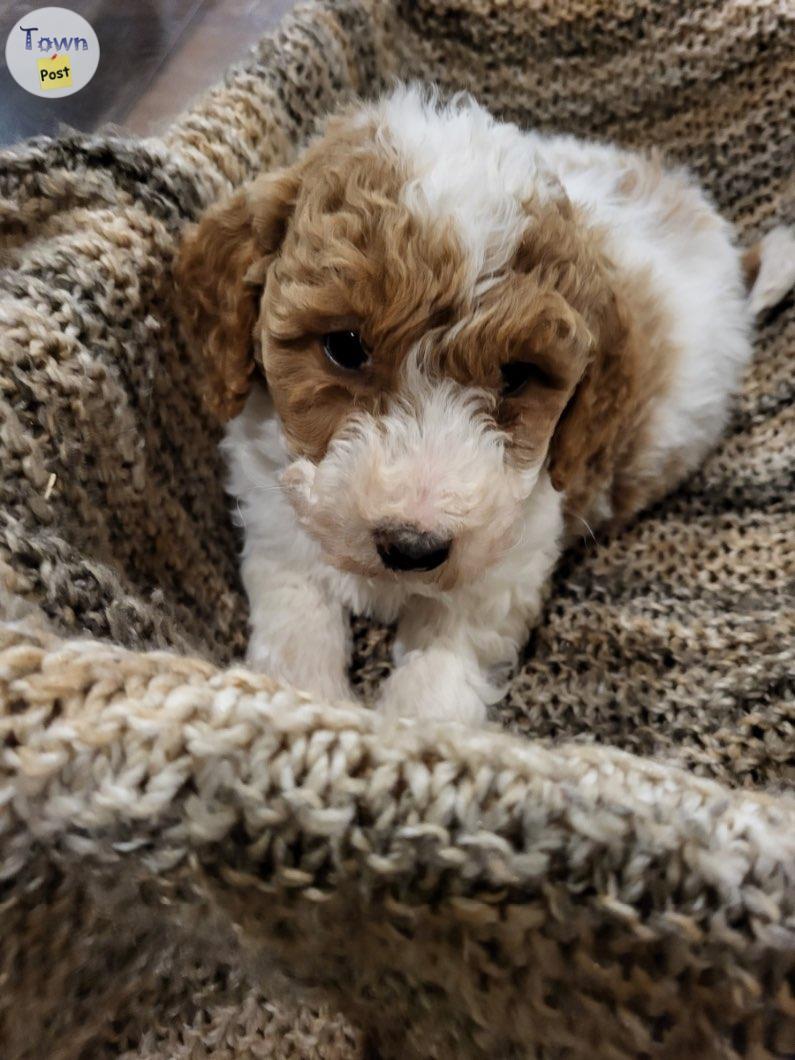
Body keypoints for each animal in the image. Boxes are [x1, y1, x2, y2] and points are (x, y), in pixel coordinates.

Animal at [175, 86, 795, 725]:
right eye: (344, 346)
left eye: (517, 375)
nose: (413, 546)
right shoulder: (277, 524)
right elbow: (296, 621)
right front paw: (307, 705)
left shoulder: (506, 563)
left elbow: (443, 665)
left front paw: (411, 728)